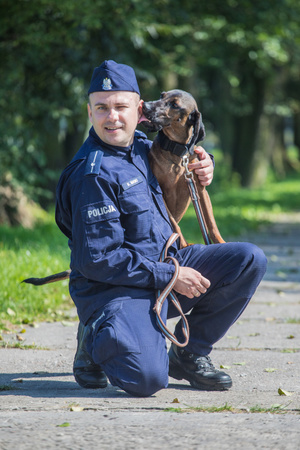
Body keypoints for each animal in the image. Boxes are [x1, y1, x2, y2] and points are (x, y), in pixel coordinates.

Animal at [23, 89, 224, 284]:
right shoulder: (160, 193)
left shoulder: (200, 189)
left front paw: (219, 242)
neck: (176, 153)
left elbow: (211, 222)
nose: (146, 105)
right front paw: (184, 243)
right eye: (162, 95)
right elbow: (175, 225)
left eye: (174, 105)